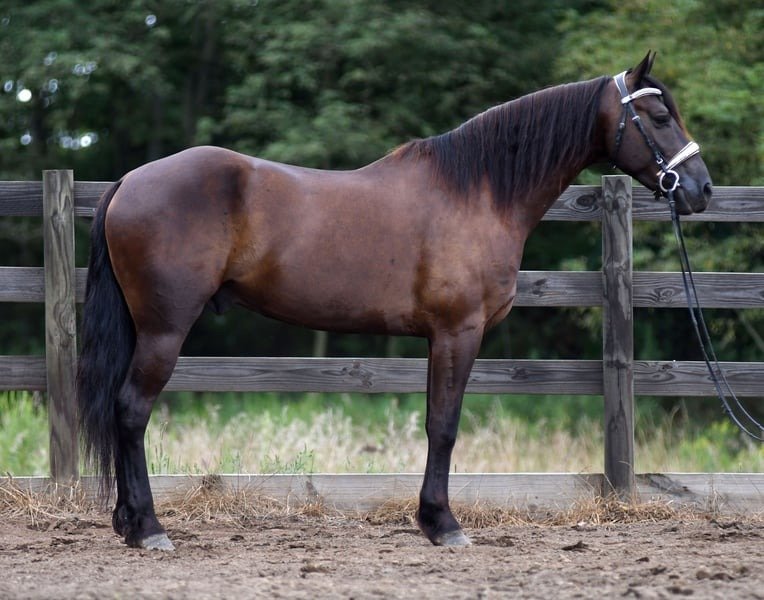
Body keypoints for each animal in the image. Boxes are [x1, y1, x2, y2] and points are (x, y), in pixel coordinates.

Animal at [77, 52, 712, 551]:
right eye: (659, 116)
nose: (701, 189)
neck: (477, 191)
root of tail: (130, 180)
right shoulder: (459, 332)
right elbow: (445, 426)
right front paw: (443, 525)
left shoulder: (440, 338)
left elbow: (435, 422)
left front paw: (432, 520)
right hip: (164, 329)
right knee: (131, 410)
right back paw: (150, 529)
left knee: (121, 412)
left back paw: (128, 523)